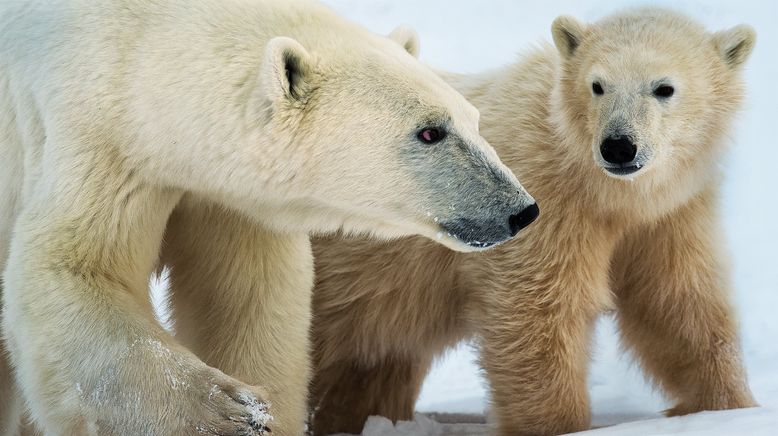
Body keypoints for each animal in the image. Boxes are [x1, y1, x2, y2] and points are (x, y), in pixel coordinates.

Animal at [0, 0, 536, 434]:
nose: (521, 209)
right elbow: (73, 269)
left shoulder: (228, 198)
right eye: (429, 132)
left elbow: (249, 297)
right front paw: (228, 413)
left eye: (473, 119)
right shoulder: (98, 141)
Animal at [312, 7, 756, 436]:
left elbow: (676, 302)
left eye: (664, 88)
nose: (618, 146)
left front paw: (730, 406)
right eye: (598, 85)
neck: (602, 189)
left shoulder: (670, 215)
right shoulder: (542, 201)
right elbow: (538, 311)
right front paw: (560, 425)